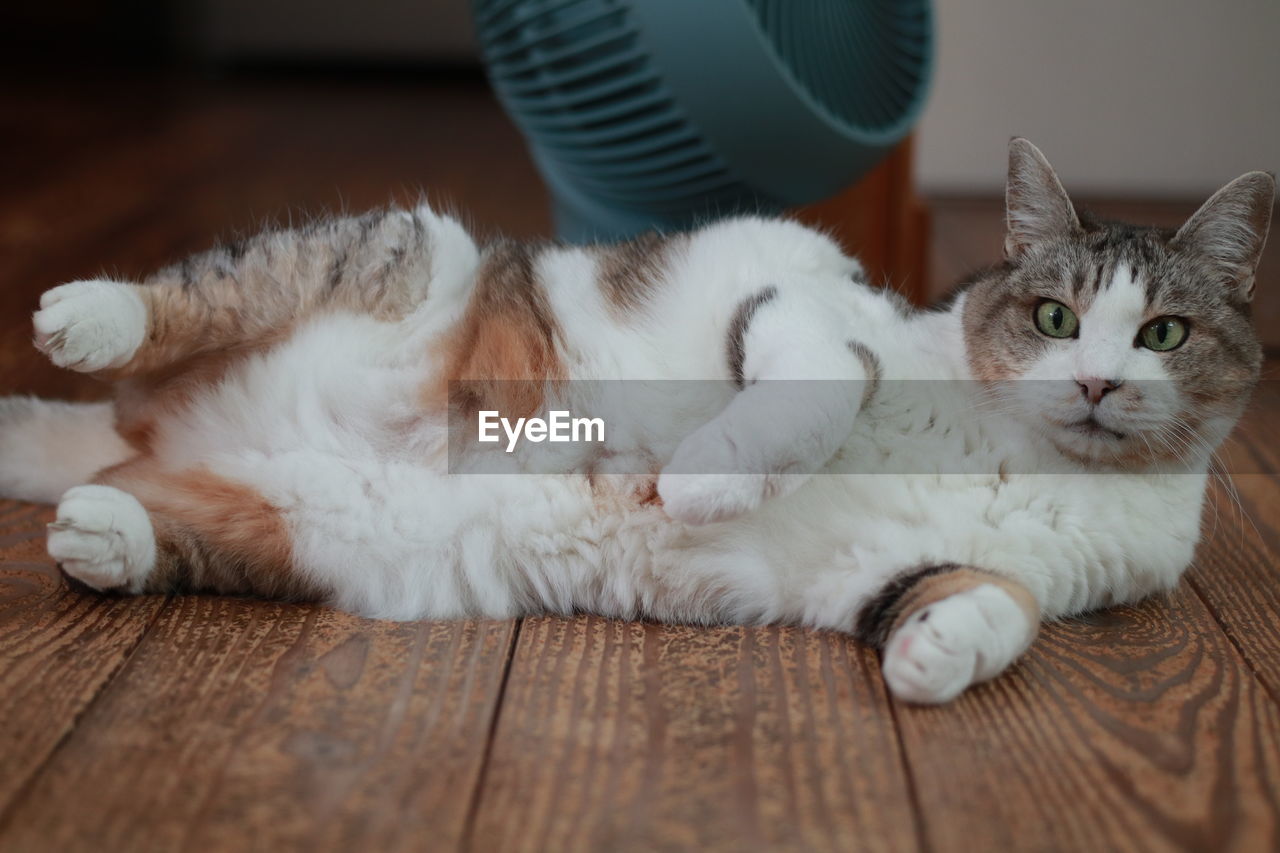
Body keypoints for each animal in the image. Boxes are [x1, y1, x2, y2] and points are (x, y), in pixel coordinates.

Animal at [0, 137, 1269, 696]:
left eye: (1163, 334)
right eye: (1055, 316)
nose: (1095, 381)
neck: (1018, 457)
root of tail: (150, 429)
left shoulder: (898, 570)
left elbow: (992, 600)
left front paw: (937, 653)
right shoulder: (789, 284)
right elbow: (822, 381)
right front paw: (706, 477)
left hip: (313, 532)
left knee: (154, 514)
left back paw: (99, 528)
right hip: (400, 252)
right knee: (207, 290)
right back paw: (90, 317)